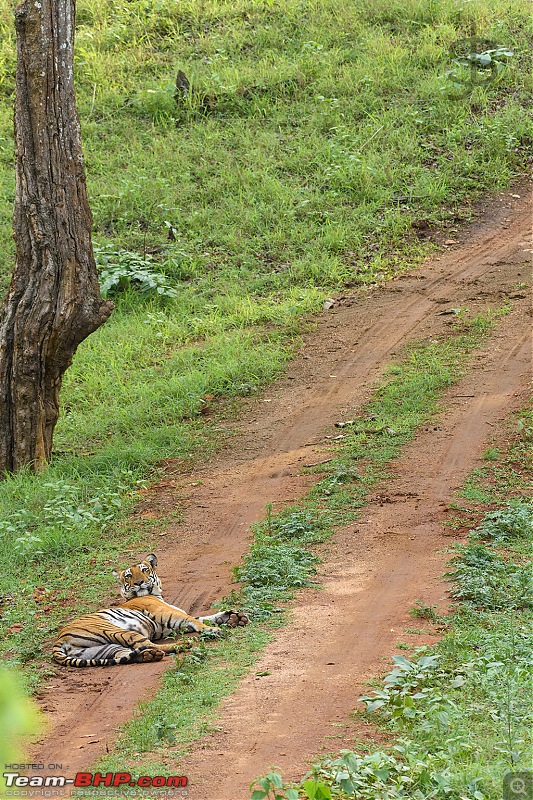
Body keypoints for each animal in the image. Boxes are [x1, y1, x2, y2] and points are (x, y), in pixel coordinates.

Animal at [52, 552, 247, 664]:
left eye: (144, 570)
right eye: (129, 576)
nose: (139, 583)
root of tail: (59, 640)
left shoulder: (168, 623)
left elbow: (201, 617)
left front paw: (233, 617)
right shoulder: (165, 612)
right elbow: (194, 619)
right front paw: (214, 630)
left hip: (101, 649)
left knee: (125, 654)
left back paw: (148, 656)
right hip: (116, 631)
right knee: (146, 644)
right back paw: (182, 644)